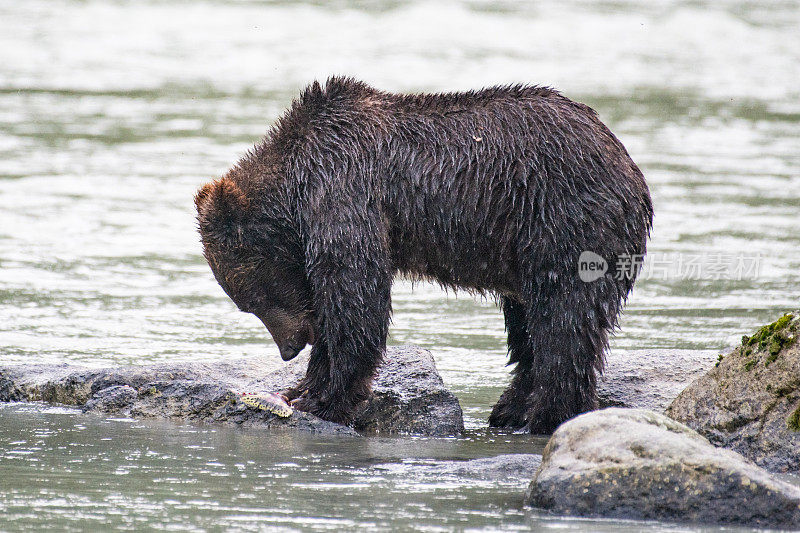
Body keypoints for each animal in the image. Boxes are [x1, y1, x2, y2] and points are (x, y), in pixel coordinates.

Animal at [197, 76, 652, 432]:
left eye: (255, 298)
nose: (289, 348)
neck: (296, 187)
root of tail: (631, 170)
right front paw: (301, 388)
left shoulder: (344, 191)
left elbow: (354, 298)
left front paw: (324, 398)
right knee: (527, 323)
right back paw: (511, 408)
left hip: (564, 220)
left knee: (563, 319)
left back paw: (547, 415)